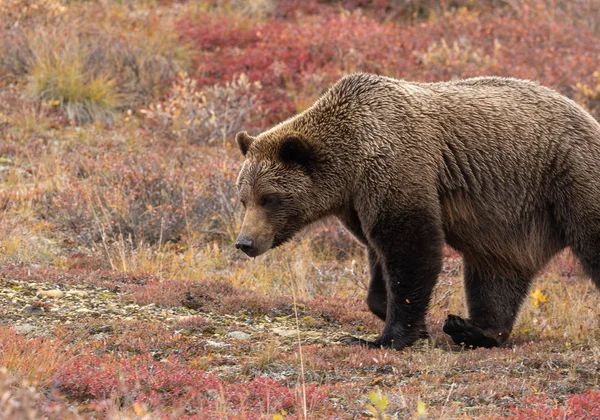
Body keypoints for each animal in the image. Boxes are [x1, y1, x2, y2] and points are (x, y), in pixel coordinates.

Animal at [233, 74, 600, 350]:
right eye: (243, 198)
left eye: (270, 198)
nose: (245, 242)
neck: (350, 166)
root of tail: (587, 115)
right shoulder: (361, 202)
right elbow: (381, 254)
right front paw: (402, 316)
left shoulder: (397, 167)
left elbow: (411, 247)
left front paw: (386, 337)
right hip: (507, 221)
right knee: (496, 272)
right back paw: (471, 328)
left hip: (569, 176)